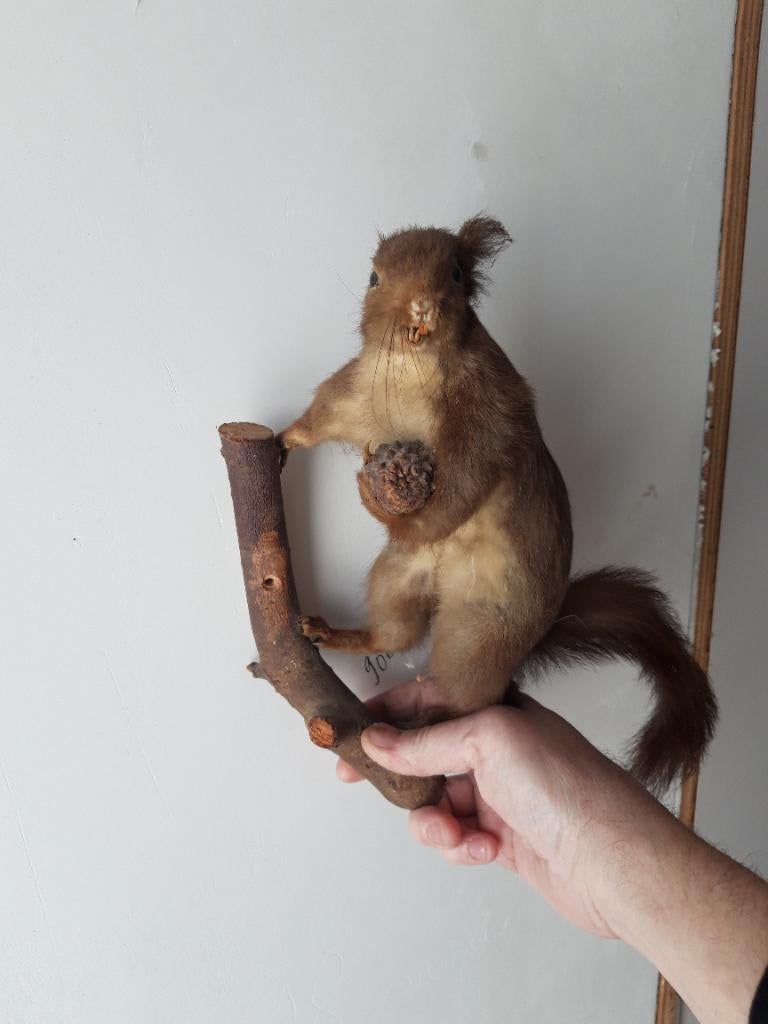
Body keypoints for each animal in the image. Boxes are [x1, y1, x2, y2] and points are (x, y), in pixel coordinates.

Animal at [278, 215, 717, 791]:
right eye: (374, 277)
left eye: (456, 272)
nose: (421, 306)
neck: (415, 365)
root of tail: (525, 645)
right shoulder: (358, 393)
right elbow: (326, 415)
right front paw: (286, 439)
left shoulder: (487, 417)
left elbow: (459, 491)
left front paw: (384, 509)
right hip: (401, 578)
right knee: (396, 633)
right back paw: (335, 633)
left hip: (479, 633)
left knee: (473, 696)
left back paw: (431, 718)